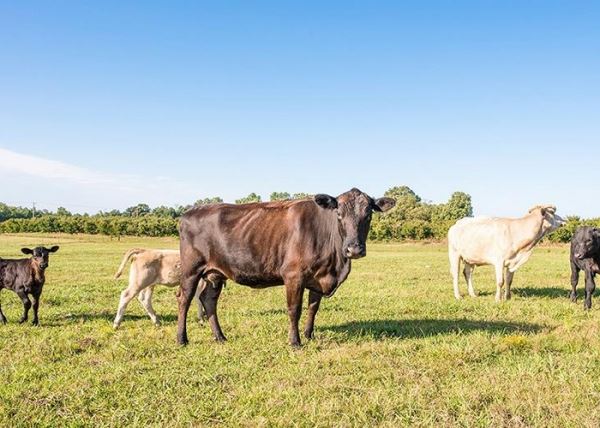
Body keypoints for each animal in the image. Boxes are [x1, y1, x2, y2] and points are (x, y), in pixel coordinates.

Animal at [176, 189, 396, 346]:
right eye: (339, 214)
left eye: (368, 214)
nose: (354, 249)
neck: (335, 265)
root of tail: (189, 212)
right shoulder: (293, 275)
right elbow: (294, 309)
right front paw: (295, 341)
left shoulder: (318, 277)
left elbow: (313, 308)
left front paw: (309, 335)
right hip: (190, 270)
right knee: (184, 299)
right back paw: (182, 339)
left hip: (215, 273)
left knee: (208, 300)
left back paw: (220, 337)